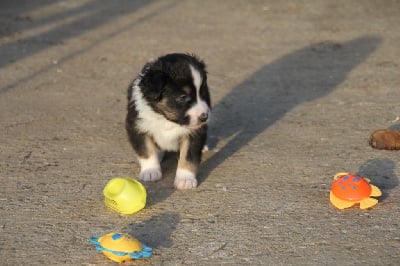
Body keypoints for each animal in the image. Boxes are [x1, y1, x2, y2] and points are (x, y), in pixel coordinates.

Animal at [126, 53, 211, 189]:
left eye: (203, 93)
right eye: (183, 97)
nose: (204, 117)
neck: (167, 120)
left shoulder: (195, 133)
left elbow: (188, 157)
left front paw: (185, 179)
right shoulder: (137, 126)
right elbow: (146, 150)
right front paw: (150, 171)